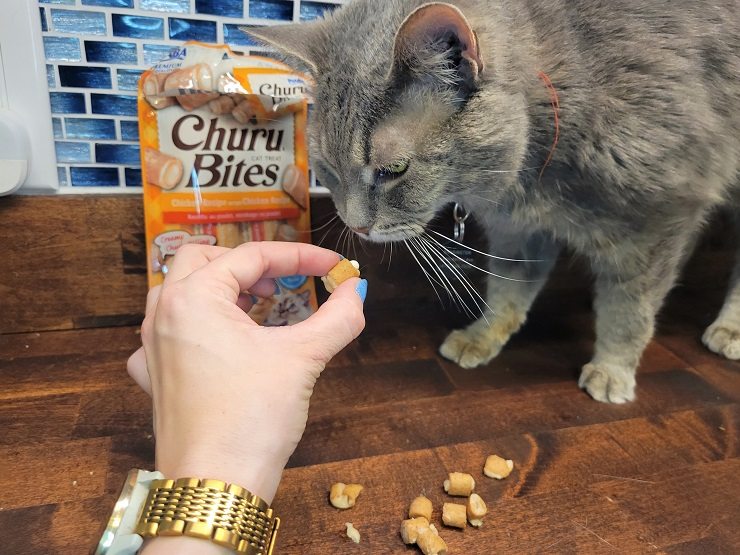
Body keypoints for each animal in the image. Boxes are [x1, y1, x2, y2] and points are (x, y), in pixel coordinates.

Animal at [250, 0, 740, 400]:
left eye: (393, 170)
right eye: (328, 171)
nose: (356, 226)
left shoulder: (656, 220)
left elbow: (629, 308)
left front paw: (612, 368)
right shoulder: (518, 230)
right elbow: (508, 290)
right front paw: (484, 335)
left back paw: (729, 327)